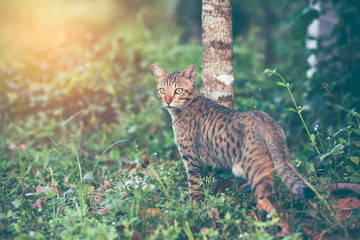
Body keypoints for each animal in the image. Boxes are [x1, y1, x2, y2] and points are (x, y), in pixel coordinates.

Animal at [150, 63, 314, 231]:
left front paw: (192, 214)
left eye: (178, 90)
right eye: (162, 90)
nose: (168, 101)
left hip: (257, 174)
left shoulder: (193, 162)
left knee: (273, 206)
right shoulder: (207, 165)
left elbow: (194, 192)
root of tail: (268, 120)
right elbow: (207, 190)